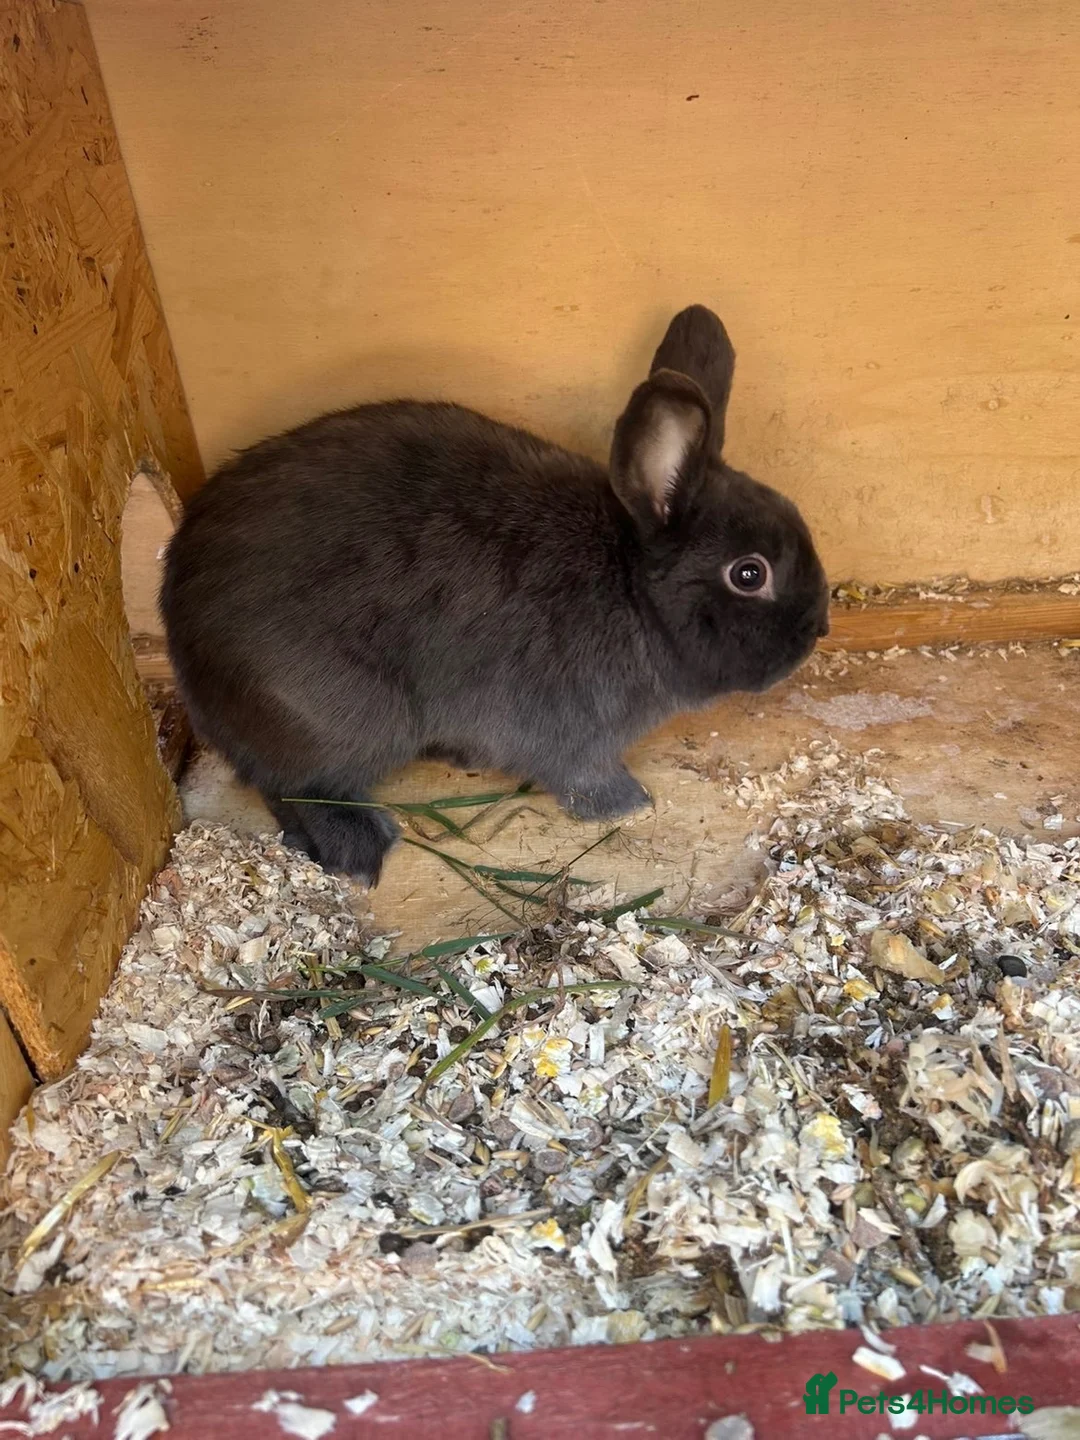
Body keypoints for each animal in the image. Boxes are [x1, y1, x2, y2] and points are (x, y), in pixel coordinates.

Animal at [161, 305, 830, 886]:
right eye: (749, 574)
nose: (818, 629)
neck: (632, 585)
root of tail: (184, 650)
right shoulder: (573, 730)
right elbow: (584, 776)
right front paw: (631, 803)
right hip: (342, 717)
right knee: (292, 786)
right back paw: (360, 846)